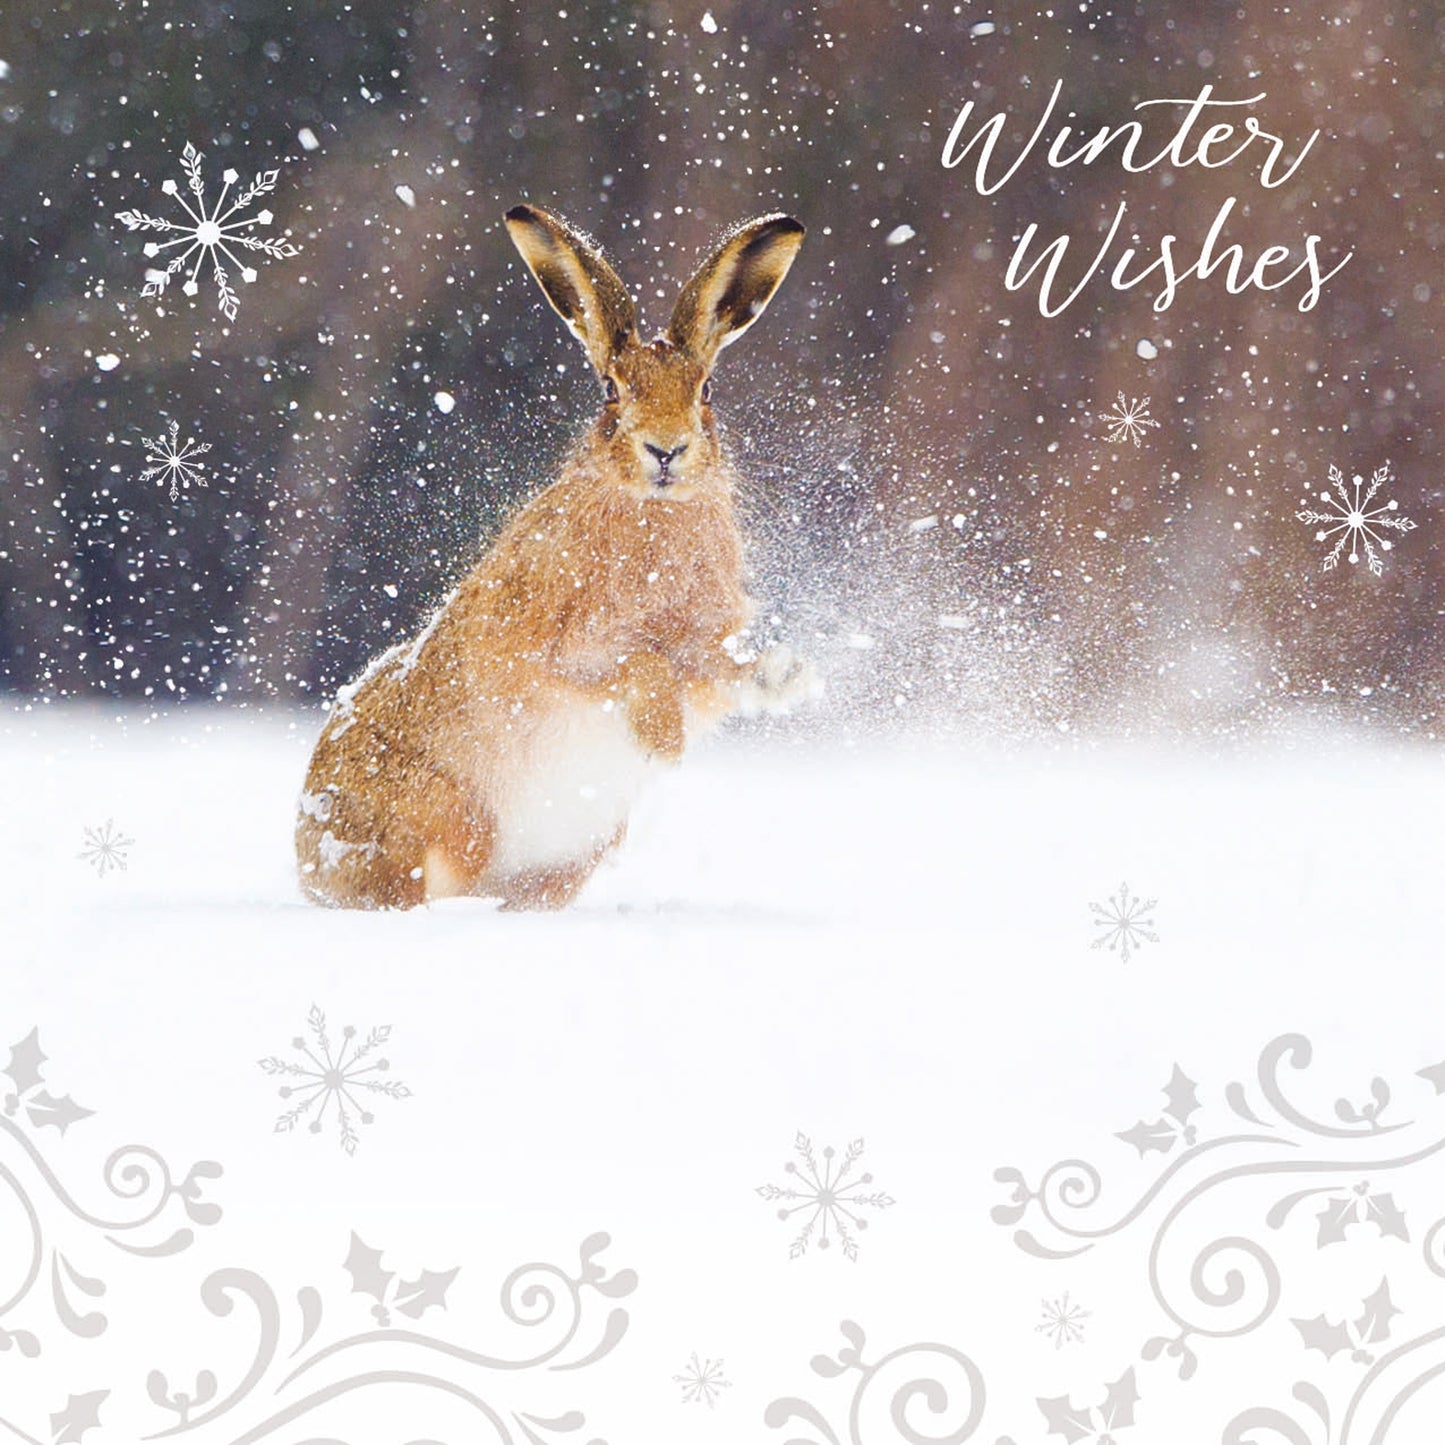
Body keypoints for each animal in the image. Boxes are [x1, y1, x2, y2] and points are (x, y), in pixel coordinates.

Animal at [295, 203, 814, 910]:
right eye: (611, 391)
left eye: (706, 390)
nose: (666, 450)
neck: (650, 511)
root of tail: (305, 857)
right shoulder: (552, 651)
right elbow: (636, 664)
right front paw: (663, 738)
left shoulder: (702, 651)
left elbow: (715, 673)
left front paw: (785, 677)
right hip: (441, 824)